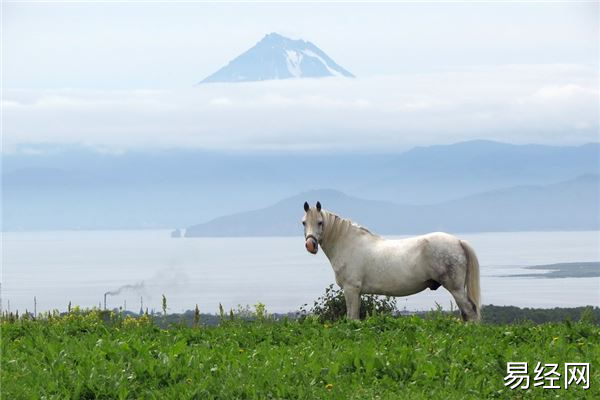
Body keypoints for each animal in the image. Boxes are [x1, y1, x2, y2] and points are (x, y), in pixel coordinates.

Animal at [302, 202, 480, 320]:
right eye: (304, 222)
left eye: (320, 222)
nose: (310, 245)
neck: (348, 243)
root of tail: (458, 241)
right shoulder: (357, 293)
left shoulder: (350, 289)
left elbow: (351, 318)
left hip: (455, 288)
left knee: (470, 311)